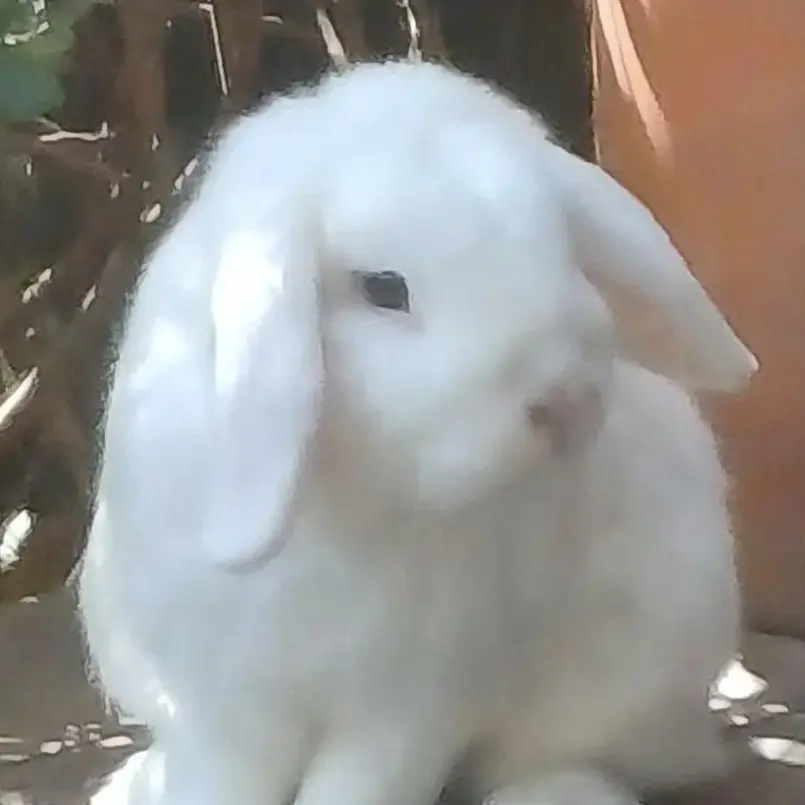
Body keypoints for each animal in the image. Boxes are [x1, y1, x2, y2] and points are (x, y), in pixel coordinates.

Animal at [77, 59, 757, 805]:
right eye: (383, 288)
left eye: (561, 252)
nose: (566, 400)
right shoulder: (223, 706)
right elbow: (218, 781)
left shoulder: (413, 707)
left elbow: (359, 788)